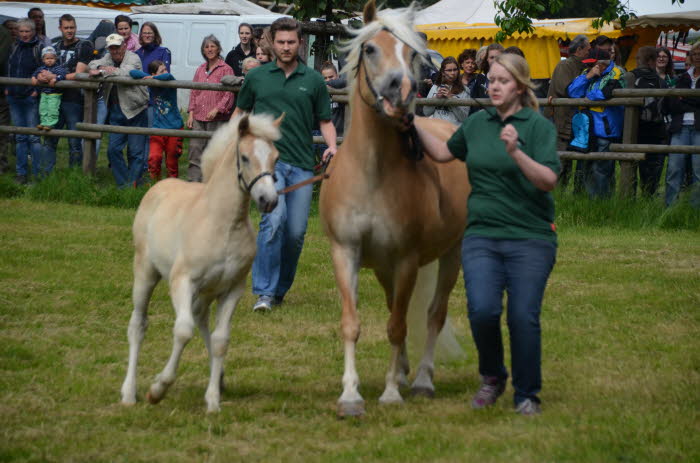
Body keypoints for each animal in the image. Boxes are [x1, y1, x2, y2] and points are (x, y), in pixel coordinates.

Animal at [121, 115, 282, 414]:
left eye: (275, 157)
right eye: (244, 157)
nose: (269, 200)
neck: (222, 223)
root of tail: (158, 186)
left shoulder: (232, 290)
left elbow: (220, 341)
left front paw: (213, 400)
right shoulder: (182, 281)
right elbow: (183, 331)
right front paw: (157, 389)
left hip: (206, 293)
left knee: (201, 321)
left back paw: (220, 379)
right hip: (146, 273)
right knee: (138, 325)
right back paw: (129, 392)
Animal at [320, 0, 468, 418]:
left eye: (412, 54)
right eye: (370, 48)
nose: (399, 88)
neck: (372, 173)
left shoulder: (406, 260)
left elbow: (398, 326)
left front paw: (389, 393)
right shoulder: (347, 253)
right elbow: (353, 324)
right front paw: (350, 396)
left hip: (451, 255)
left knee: (434, 315)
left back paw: (421, 381)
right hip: (384, 268)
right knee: (394, 307)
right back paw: (403, 371)